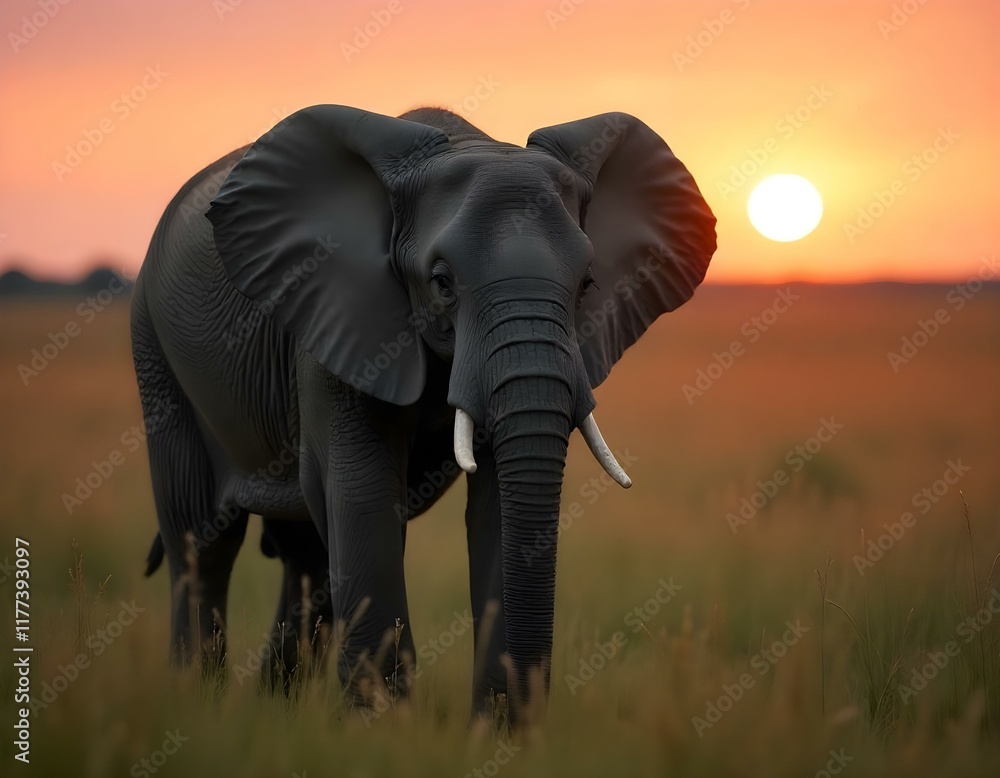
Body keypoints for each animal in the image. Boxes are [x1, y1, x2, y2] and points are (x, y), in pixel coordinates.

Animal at [131, 103, 716, 722]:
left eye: (587, 285)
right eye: (441, 283)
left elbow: (496, 507)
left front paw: (495, 733)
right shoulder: (337, 322)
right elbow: (362, 493)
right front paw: (382, 728)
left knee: (304, 554)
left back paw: (275, 709)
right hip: (155, 349)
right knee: (202, 540)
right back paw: (195, 701)